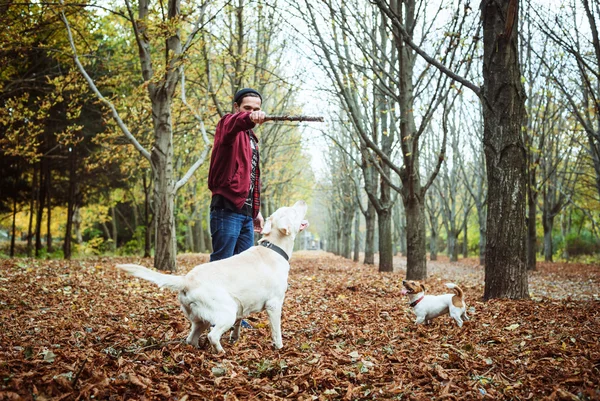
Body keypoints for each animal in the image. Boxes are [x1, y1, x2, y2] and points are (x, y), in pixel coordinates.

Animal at [116, 202, 310, 352]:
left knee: (191, 338)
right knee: (212, 335)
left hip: (202, 318)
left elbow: (239, 324)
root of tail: (187, 280)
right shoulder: (274, 305)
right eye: (293, 211)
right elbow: (277, 331)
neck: (274, 247)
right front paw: (279, 347)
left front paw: (235, 338)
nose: (302, 201)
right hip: (227, 312)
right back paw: (221, 352)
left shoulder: (242, 308)